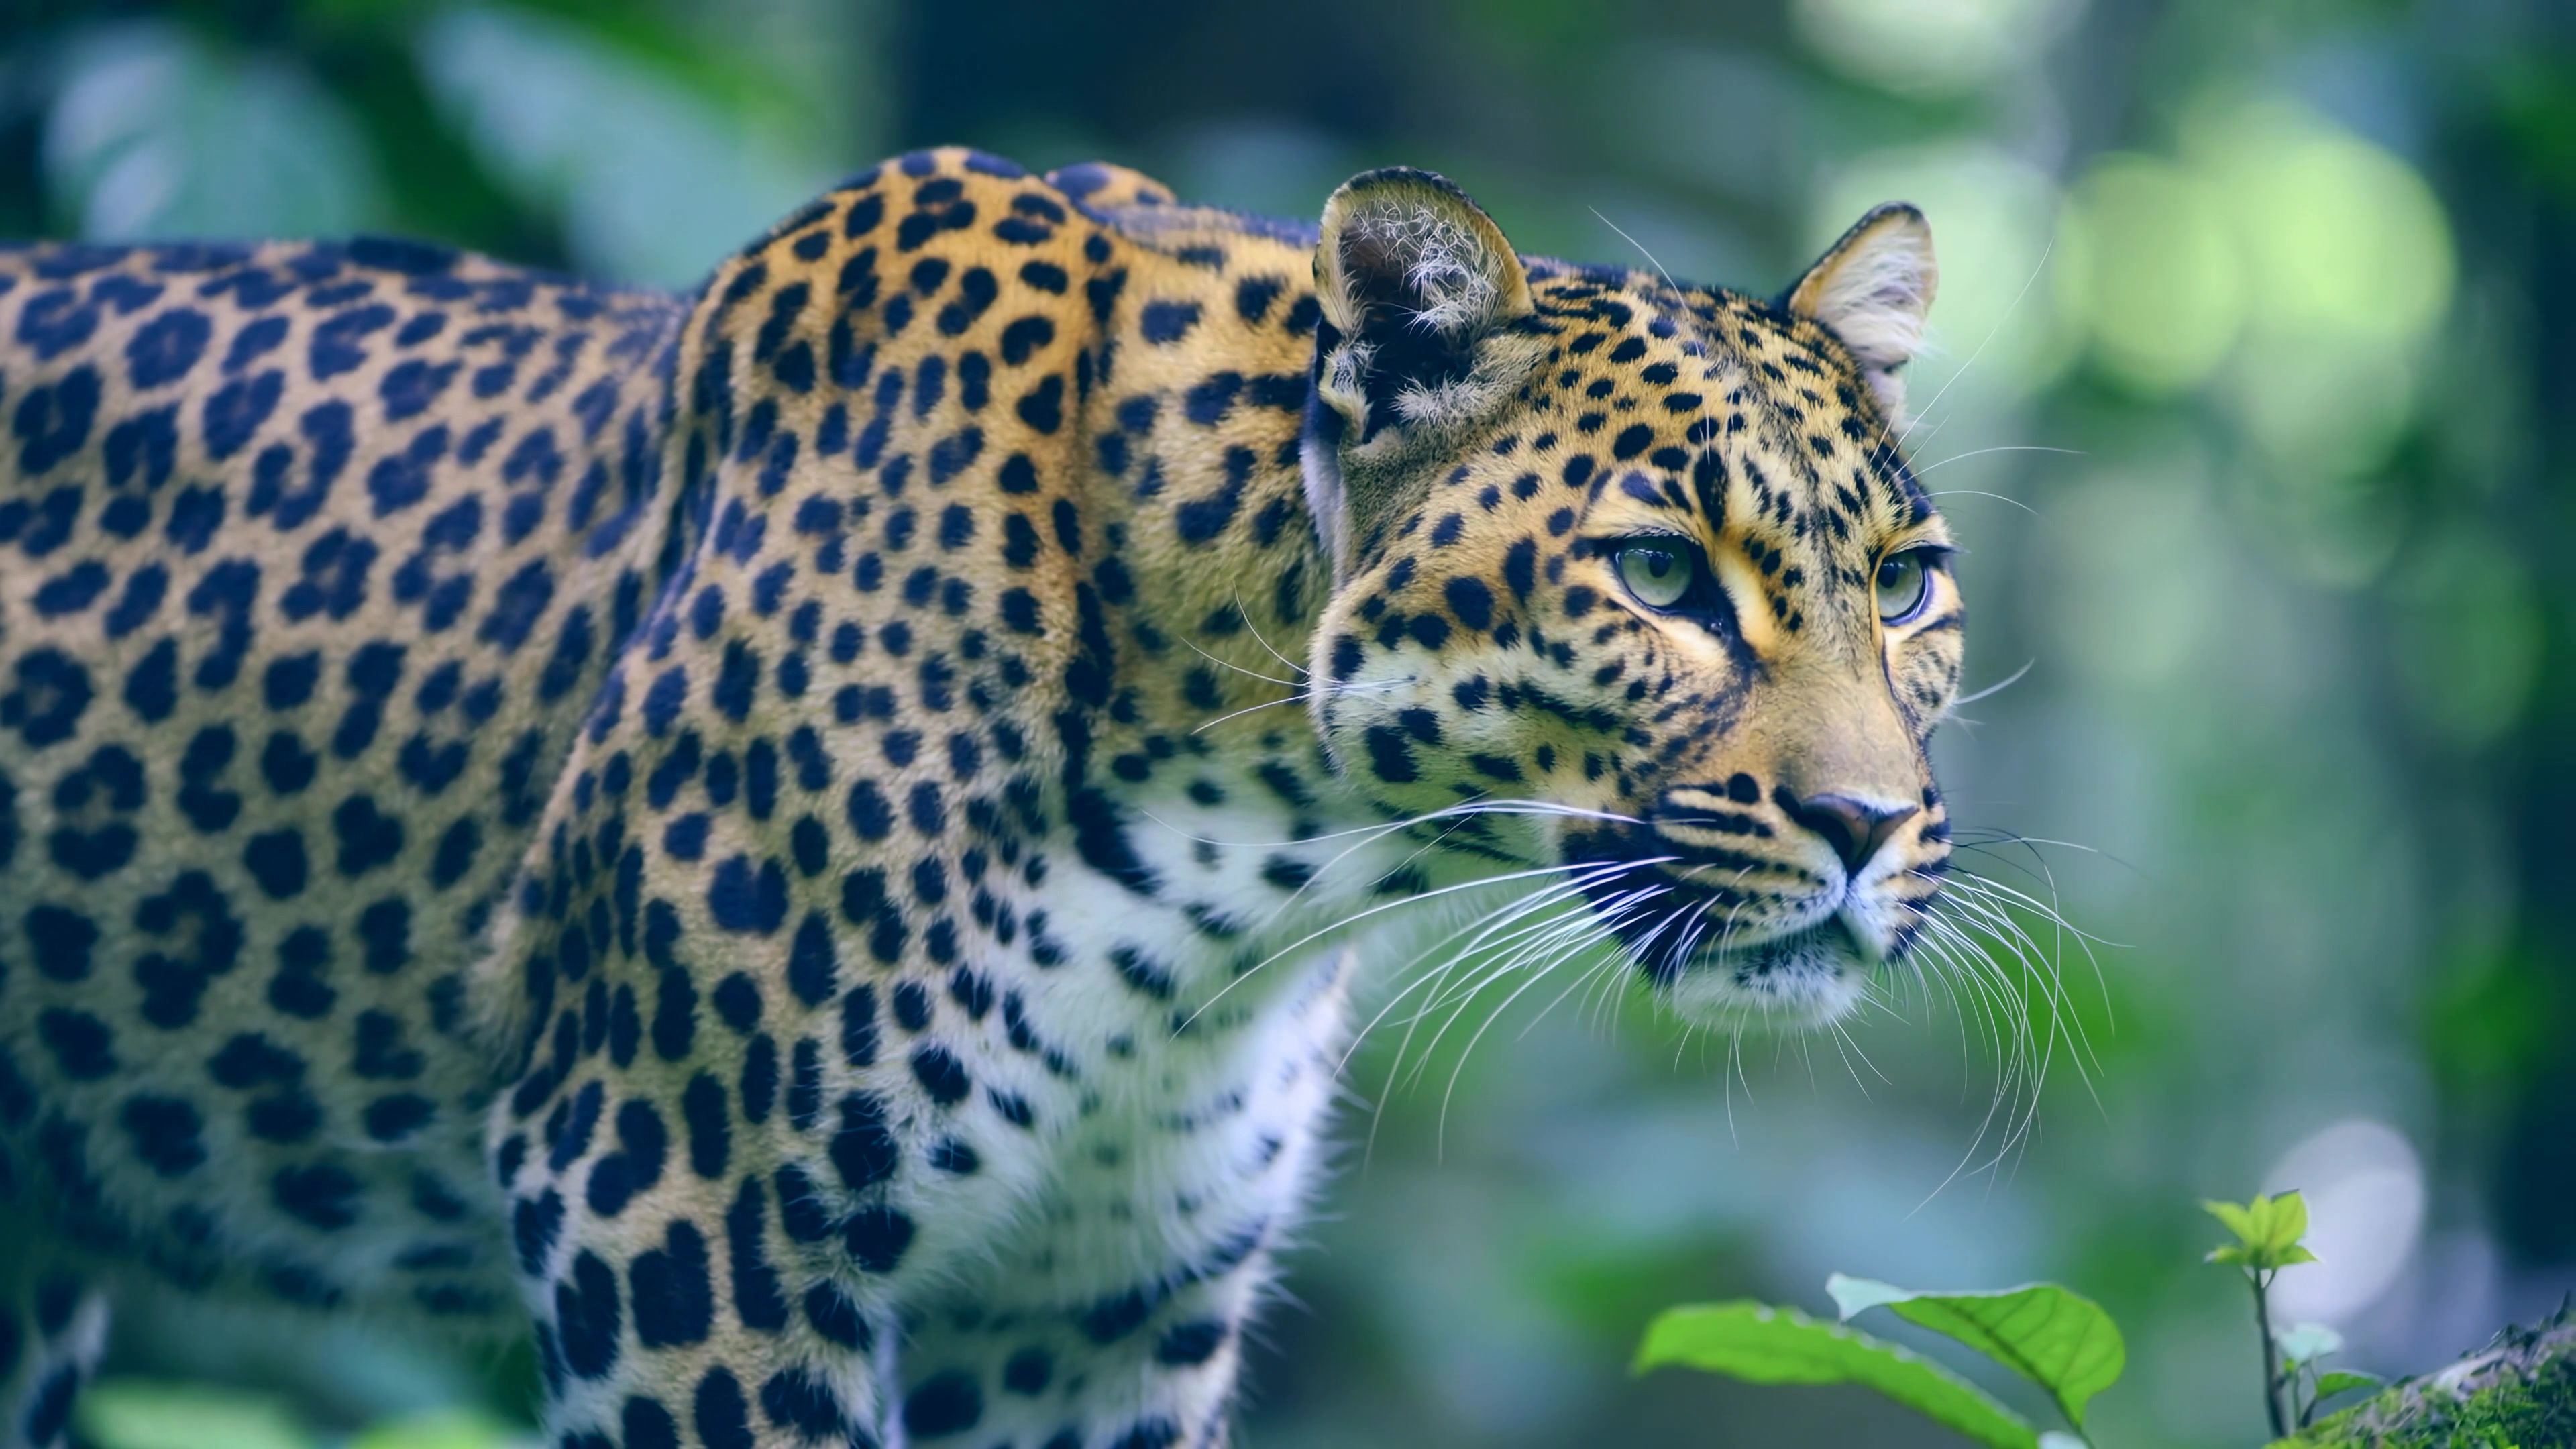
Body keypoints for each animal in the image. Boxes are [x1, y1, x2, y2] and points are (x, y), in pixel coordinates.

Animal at [0, 147, 1962, 1449]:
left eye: (1906, 585)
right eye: (1657, 573)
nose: (1868, 828)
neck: (1245, 876)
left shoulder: (1097, 1303)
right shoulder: (673, 1203)